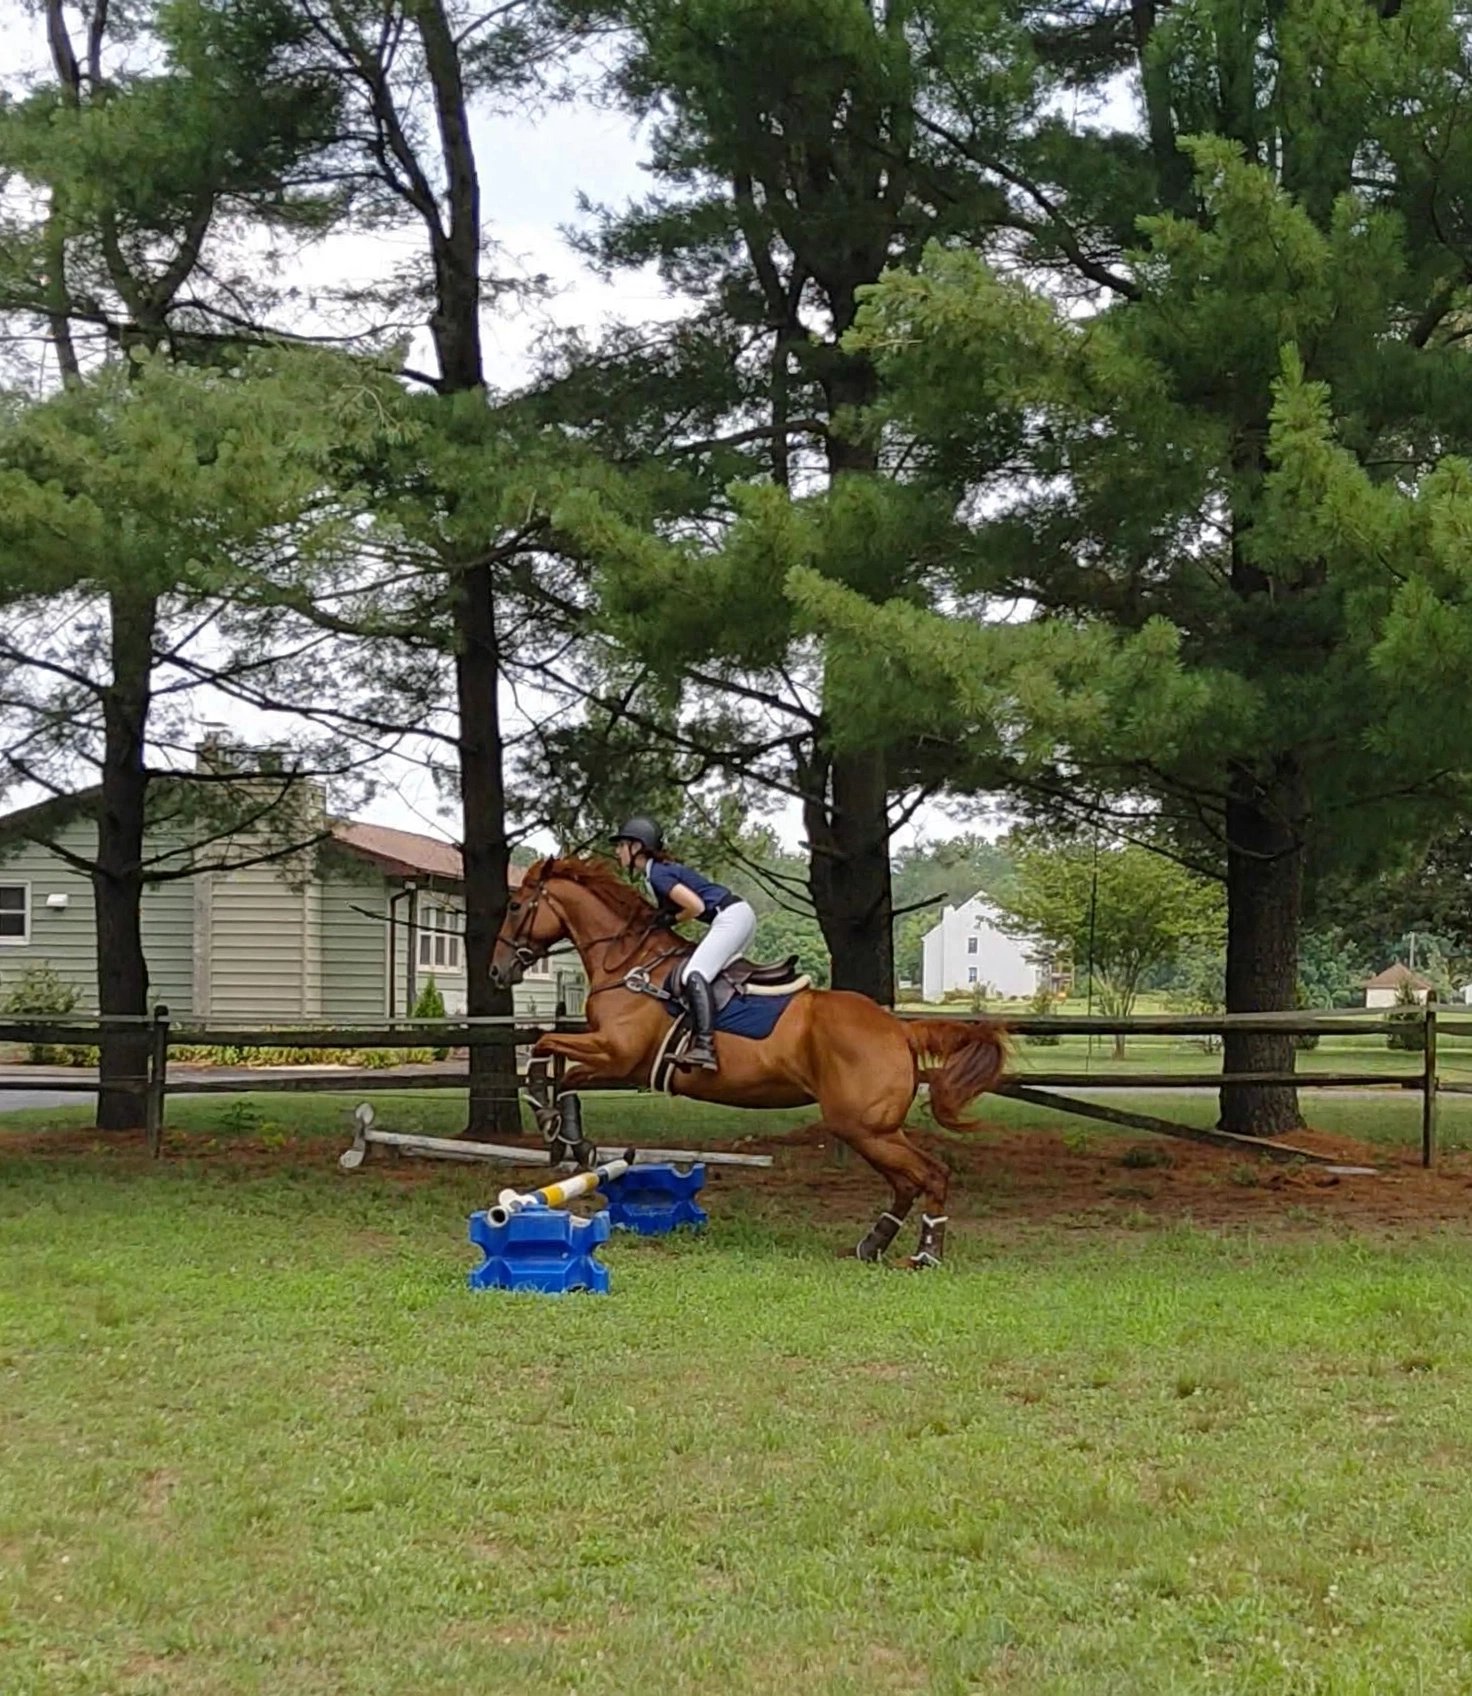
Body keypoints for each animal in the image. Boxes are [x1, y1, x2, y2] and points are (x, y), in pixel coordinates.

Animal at [488, 856, 1011, 1268]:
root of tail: (898, 1028)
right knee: (907, 1182)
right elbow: (557, 1063)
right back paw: (872, 1245)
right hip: (870, 1129)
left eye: (514, 907)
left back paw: (925, 1254)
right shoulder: (612, 1057)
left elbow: (550, 1051)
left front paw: (561, 1127)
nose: (498, 971)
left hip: (864, 1127)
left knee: (928, 1175)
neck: (628, 964)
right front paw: (567, 1134)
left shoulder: (618, 1055)